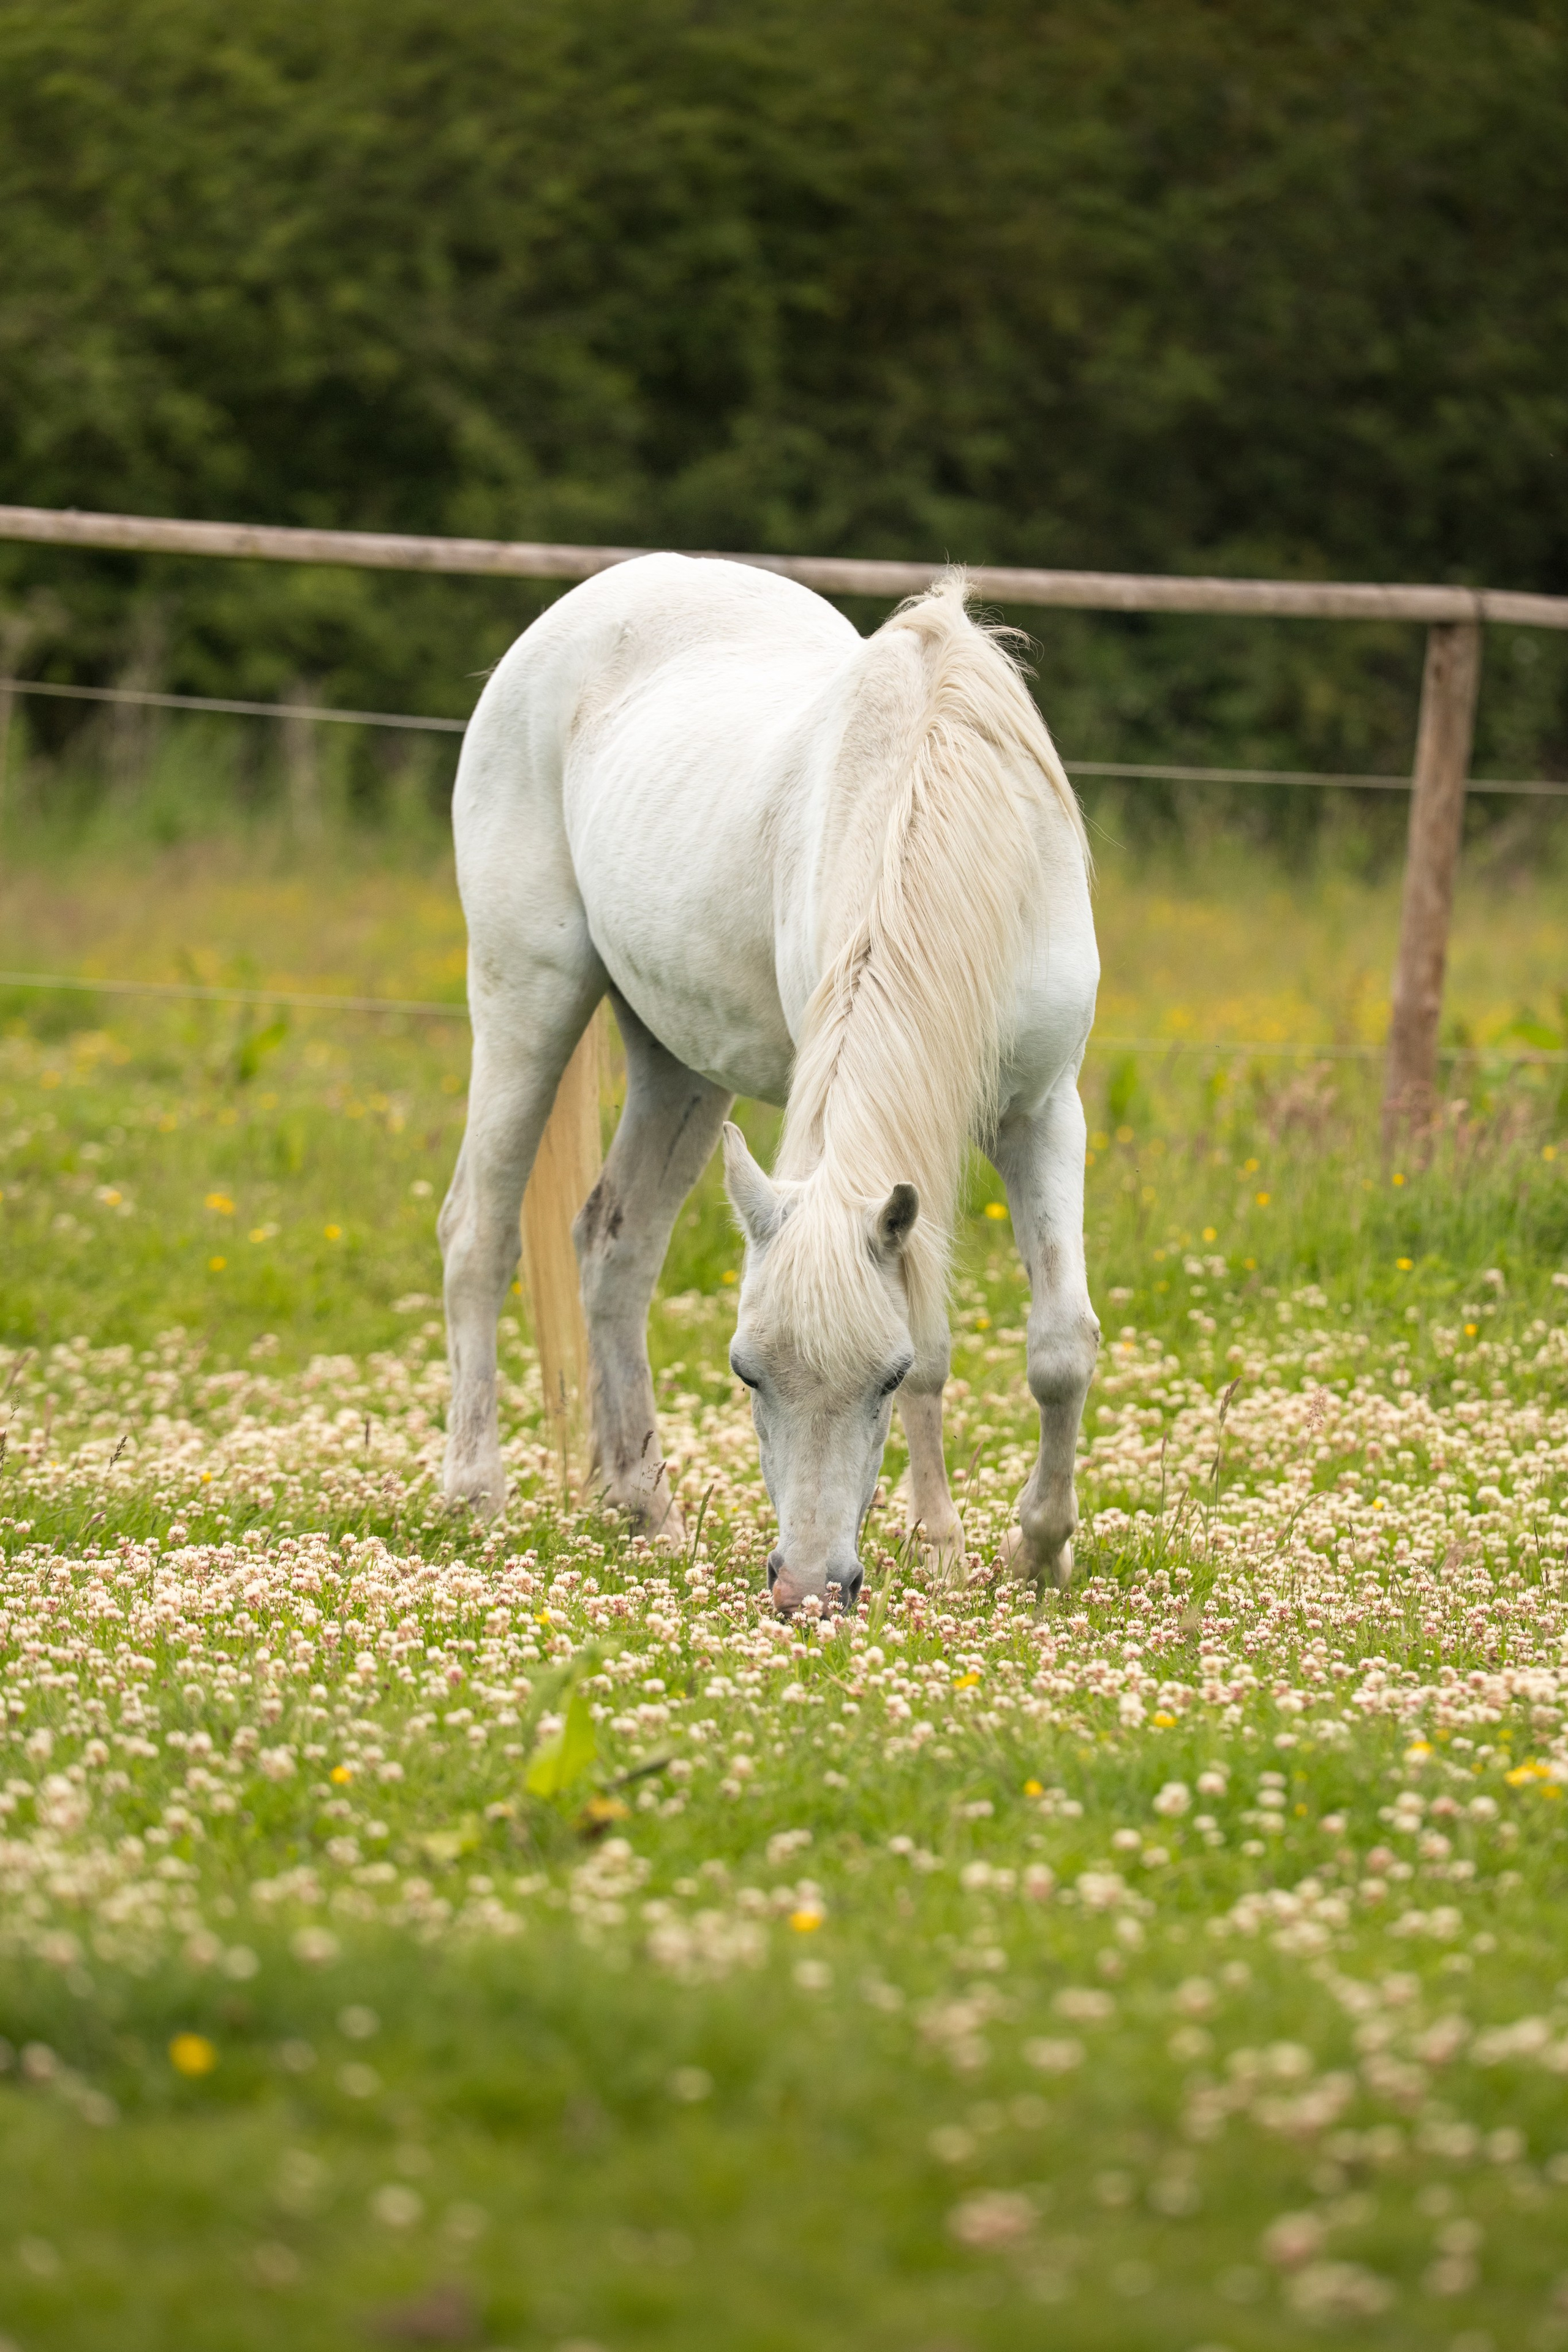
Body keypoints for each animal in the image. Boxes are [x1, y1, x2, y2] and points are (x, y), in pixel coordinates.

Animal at [439, 555, 1100, 1611]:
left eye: (880, 1379)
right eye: (748, 1375)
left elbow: (1060, 1345)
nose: (805, 1591)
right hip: (525, 995)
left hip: (677, 1062)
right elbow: (947, 1343)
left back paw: (645, 1508)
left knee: (616, 1245)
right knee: (479, 1232)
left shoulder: (1044, 1109)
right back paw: (476, 1492)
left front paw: (1038, 1552)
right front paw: (943, 1547)